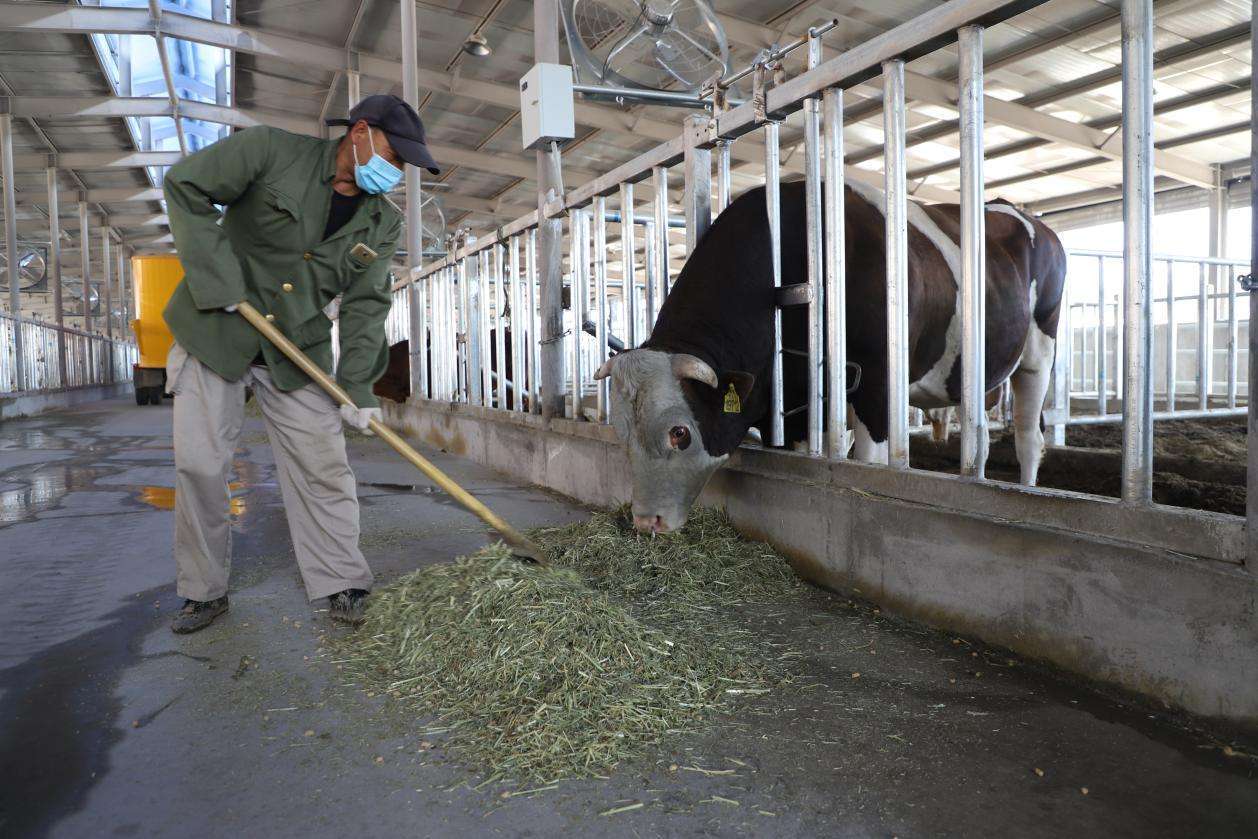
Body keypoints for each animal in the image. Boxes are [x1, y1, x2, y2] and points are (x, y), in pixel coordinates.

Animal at [593, 181, 1066, 535]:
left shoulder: (876, 386)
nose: (646, 521)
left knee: (1029, 438)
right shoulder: (797, 403)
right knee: (981, 438)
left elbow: (868, 463)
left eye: (680, 433)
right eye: (620, 431)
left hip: (1039, 352)